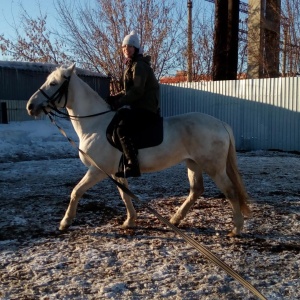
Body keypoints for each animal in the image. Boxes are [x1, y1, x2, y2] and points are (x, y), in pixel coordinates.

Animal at [27, 63, 251, 237]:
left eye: (53, 83)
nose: (30, 106)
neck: (95, 124)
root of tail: (221, 123)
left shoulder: (98, 170)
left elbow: (76, 191)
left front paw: (65, 222)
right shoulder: (115, 172)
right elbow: (124, 195)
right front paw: (130, 221)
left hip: (213, 167)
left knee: (230, 191)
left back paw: (236, 229)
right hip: (193, 163)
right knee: (196, 191)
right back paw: (175, 219)